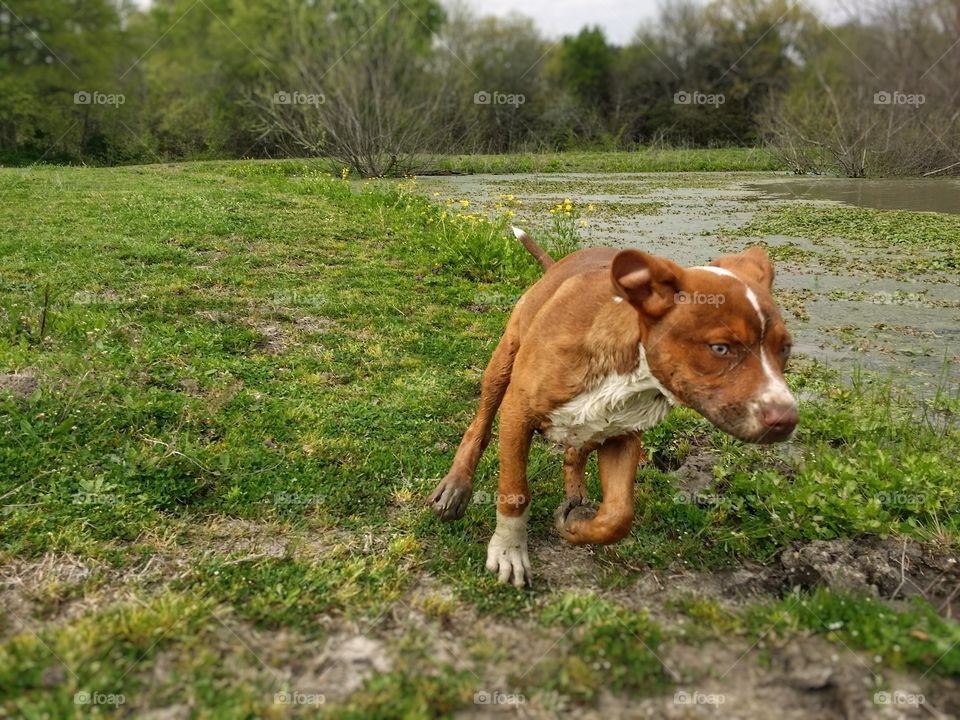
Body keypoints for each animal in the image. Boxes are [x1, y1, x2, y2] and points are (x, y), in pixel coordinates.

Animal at [428, 228, 796, 584]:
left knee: (575, 451)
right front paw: (509, 551)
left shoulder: (624, 436)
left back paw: (575, 493)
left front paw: (578, 528)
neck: (632, 373)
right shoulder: (518, 413)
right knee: (480, 425)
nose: (787, 419)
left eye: (785, 348)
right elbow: (514, 490)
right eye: (720, 348)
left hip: (595, 426)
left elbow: (619, 516)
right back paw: (456, 487)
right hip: (504, 361)